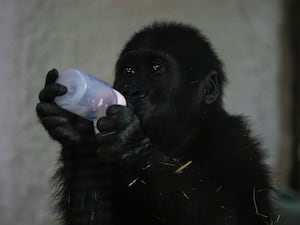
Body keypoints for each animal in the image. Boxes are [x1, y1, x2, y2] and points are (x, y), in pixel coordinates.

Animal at [35, 21, 274, 225]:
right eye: (129, 71)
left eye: (156, 68)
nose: (132, 90)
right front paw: (74, 129)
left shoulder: (237, 142)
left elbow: (231, 215)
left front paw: (132, 147)